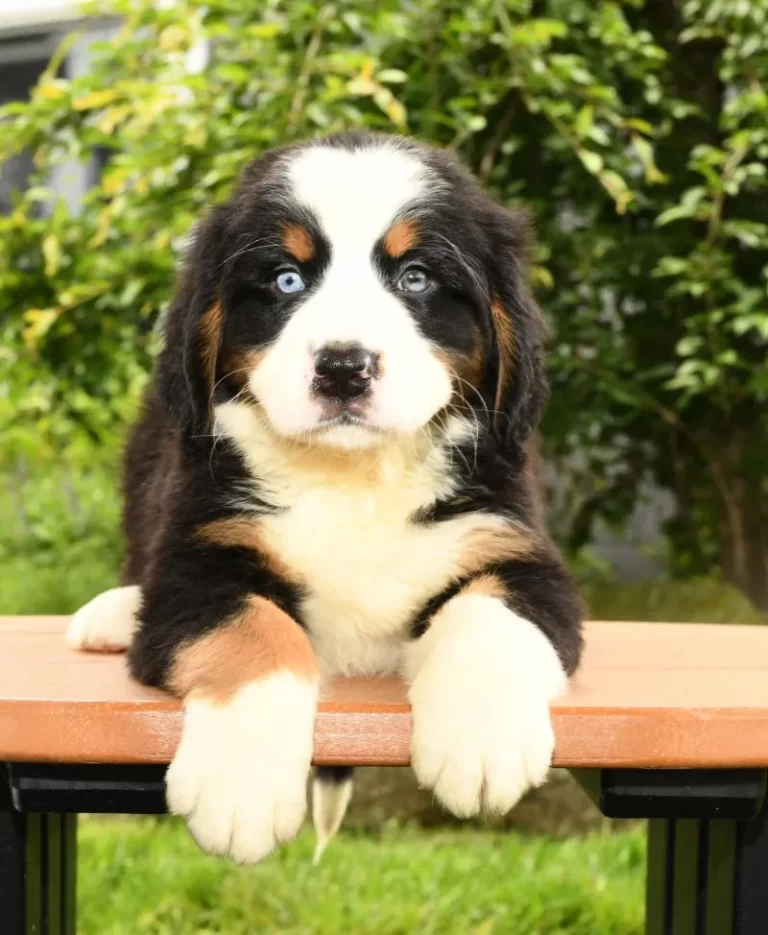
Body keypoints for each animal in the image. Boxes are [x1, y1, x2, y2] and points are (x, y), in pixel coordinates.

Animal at [69, 130, 584, 864]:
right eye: (287, 279)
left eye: (416, 278)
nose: (343, 367)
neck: (353, 480)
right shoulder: (201, 556)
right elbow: (256, 628)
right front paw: (242, 784)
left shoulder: (516, 546)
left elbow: (487, 612)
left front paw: (483, 742)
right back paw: (112, 614)